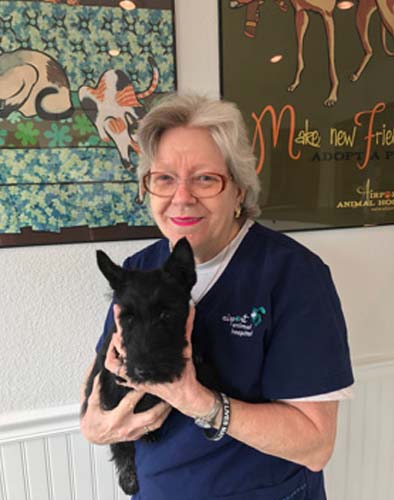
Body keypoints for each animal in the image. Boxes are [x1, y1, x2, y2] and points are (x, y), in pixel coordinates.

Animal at [82, 238, 200, 496]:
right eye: (127, 317)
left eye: (166, 314)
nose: (144, 371)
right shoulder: (109, 396)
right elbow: (122, 445)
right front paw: (129, 480)